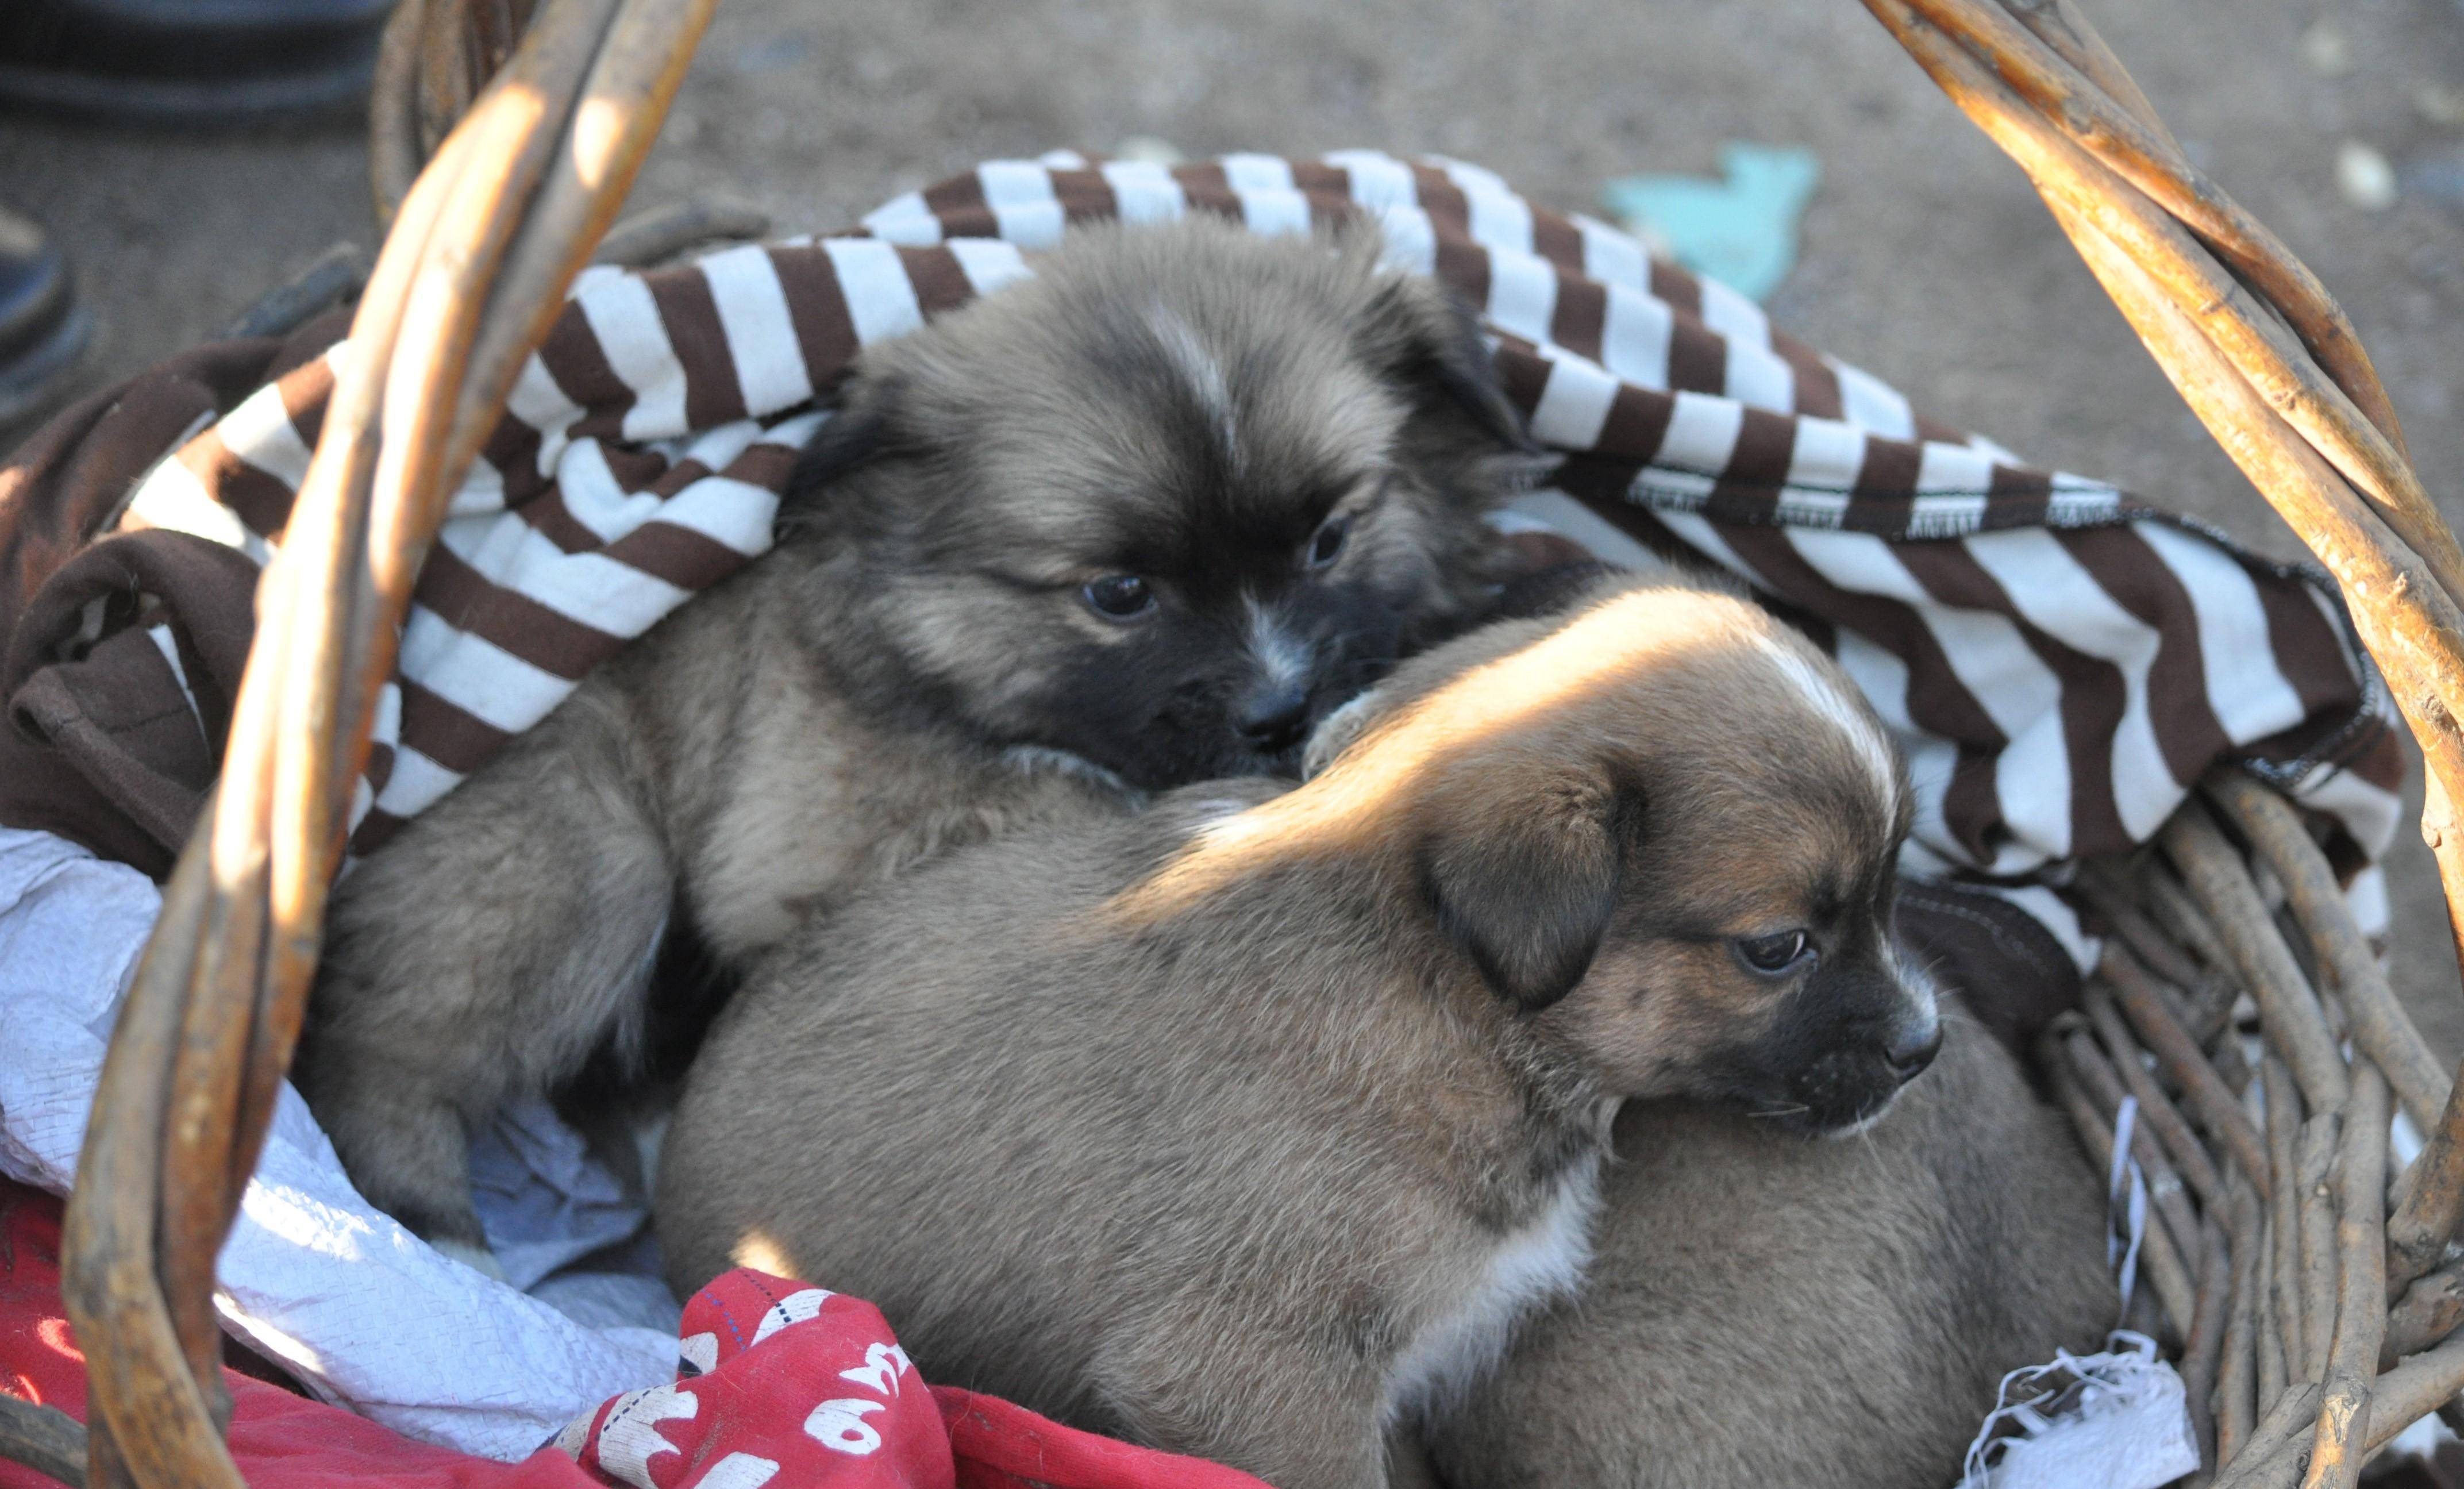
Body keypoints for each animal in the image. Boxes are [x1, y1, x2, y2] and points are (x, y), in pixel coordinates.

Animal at [298, 211, 1527, 1272]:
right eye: (1117, 594)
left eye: (1329, 538)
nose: (1280, 711)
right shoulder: (812, 835)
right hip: (580, 859)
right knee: (378, 1055)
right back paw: (439, 1234)